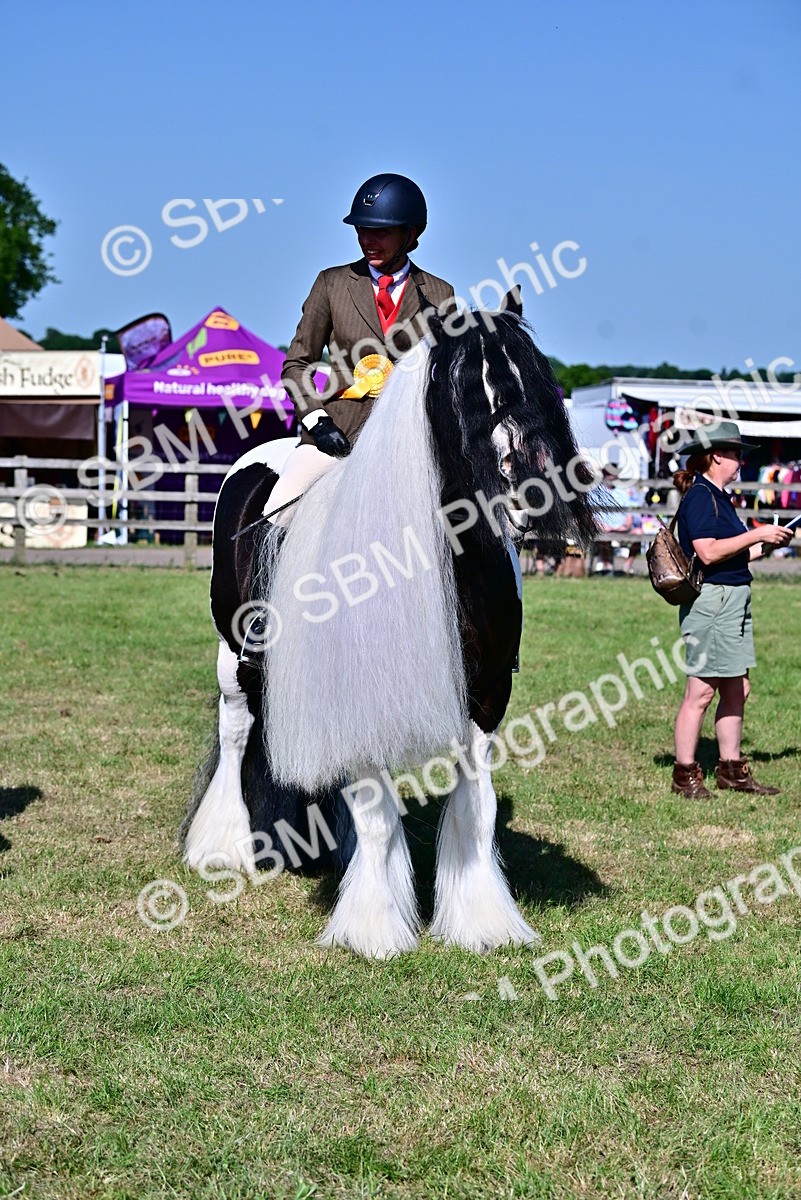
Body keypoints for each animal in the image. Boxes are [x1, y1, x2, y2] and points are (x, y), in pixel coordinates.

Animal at [181, 295, 597, 958]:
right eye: (467, 388)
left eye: (543, 380)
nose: (535, 489)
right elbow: (377, 812)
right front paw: (373, 928)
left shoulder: (486, 694)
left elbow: (474, 805)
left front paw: (481, 920)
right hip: (233, 656)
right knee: (236, 735)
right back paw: (221, 846)